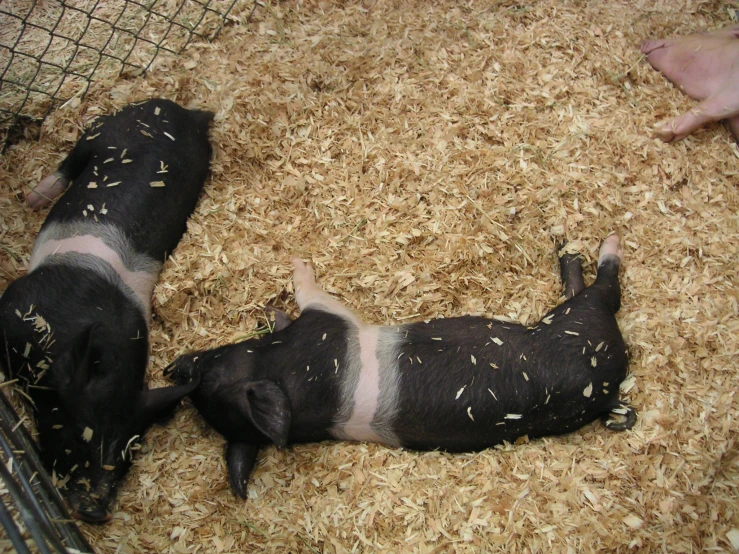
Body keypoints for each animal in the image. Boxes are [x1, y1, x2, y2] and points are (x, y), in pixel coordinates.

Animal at [0, 100, 214, 520]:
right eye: (76, 432)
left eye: (131, 449)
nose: (94, 512)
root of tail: (179, 110)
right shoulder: (14, 307)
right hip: (106, 131)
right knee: (72, 158)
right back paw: (31, 198)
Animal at [166, 233, 636, 496]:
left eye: (210, 365)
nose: (177, 366)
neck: (283, 371)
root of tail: (608, 390)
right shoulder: (330, 324)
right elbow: (310, 293)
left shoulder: (329, 320)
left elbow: (305, 292)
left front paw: (285, 283)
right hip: (584, 316)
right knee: (603, 286)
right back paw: (591, 244)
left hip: (576, 315)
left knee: (592, 284)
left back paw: (573, 245)